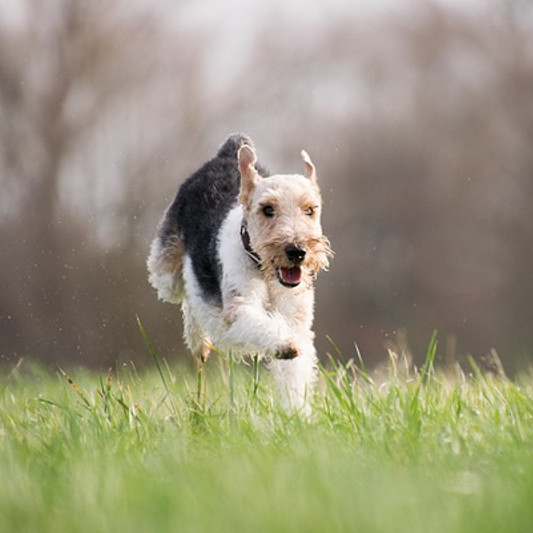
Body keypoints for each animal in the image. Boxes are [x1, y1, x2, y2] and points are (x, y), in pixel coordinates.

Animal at [148, 134, 330, 416]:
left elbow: (295, 371)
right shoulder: (239, 309)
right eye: (267, 209)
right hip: (166, 274)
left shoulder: (297, 320)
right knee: (188, 295)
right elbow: (260, 325)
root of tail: (227, 151)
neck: (265, 272)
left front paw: (298, 414)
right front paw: (283, 346)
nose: (297, 251)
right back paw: (199, 341)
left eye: (310, 209)